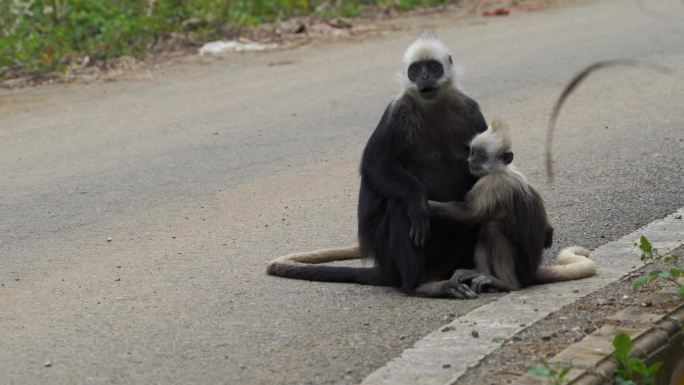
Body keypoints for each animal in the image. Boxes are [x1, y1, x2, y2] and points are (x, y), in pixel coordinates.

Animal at [268, 31, 486, 298]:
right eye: (416, 70)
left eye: (433, 68)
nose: (424, 77)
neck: (433, 105)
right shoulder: (396, 114)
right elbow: (375, 167)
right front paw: (417, 203)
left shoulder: (471, 110)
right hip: (390, 254)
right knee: (400, 204)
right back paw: (420, 284)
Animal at [430, 120, 596, 292]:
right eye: (473, 153)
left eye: (481, 156)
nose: (472, 161)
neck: (500, 170)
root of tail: (531, 273)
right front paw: (548, 229)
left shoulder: (491, 183)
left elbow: (469, 214)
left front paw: (427, 206)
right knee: (486, 225)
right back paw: (482, 272)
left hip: (520, 265)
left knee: (493, 228)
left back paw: (507, 283)